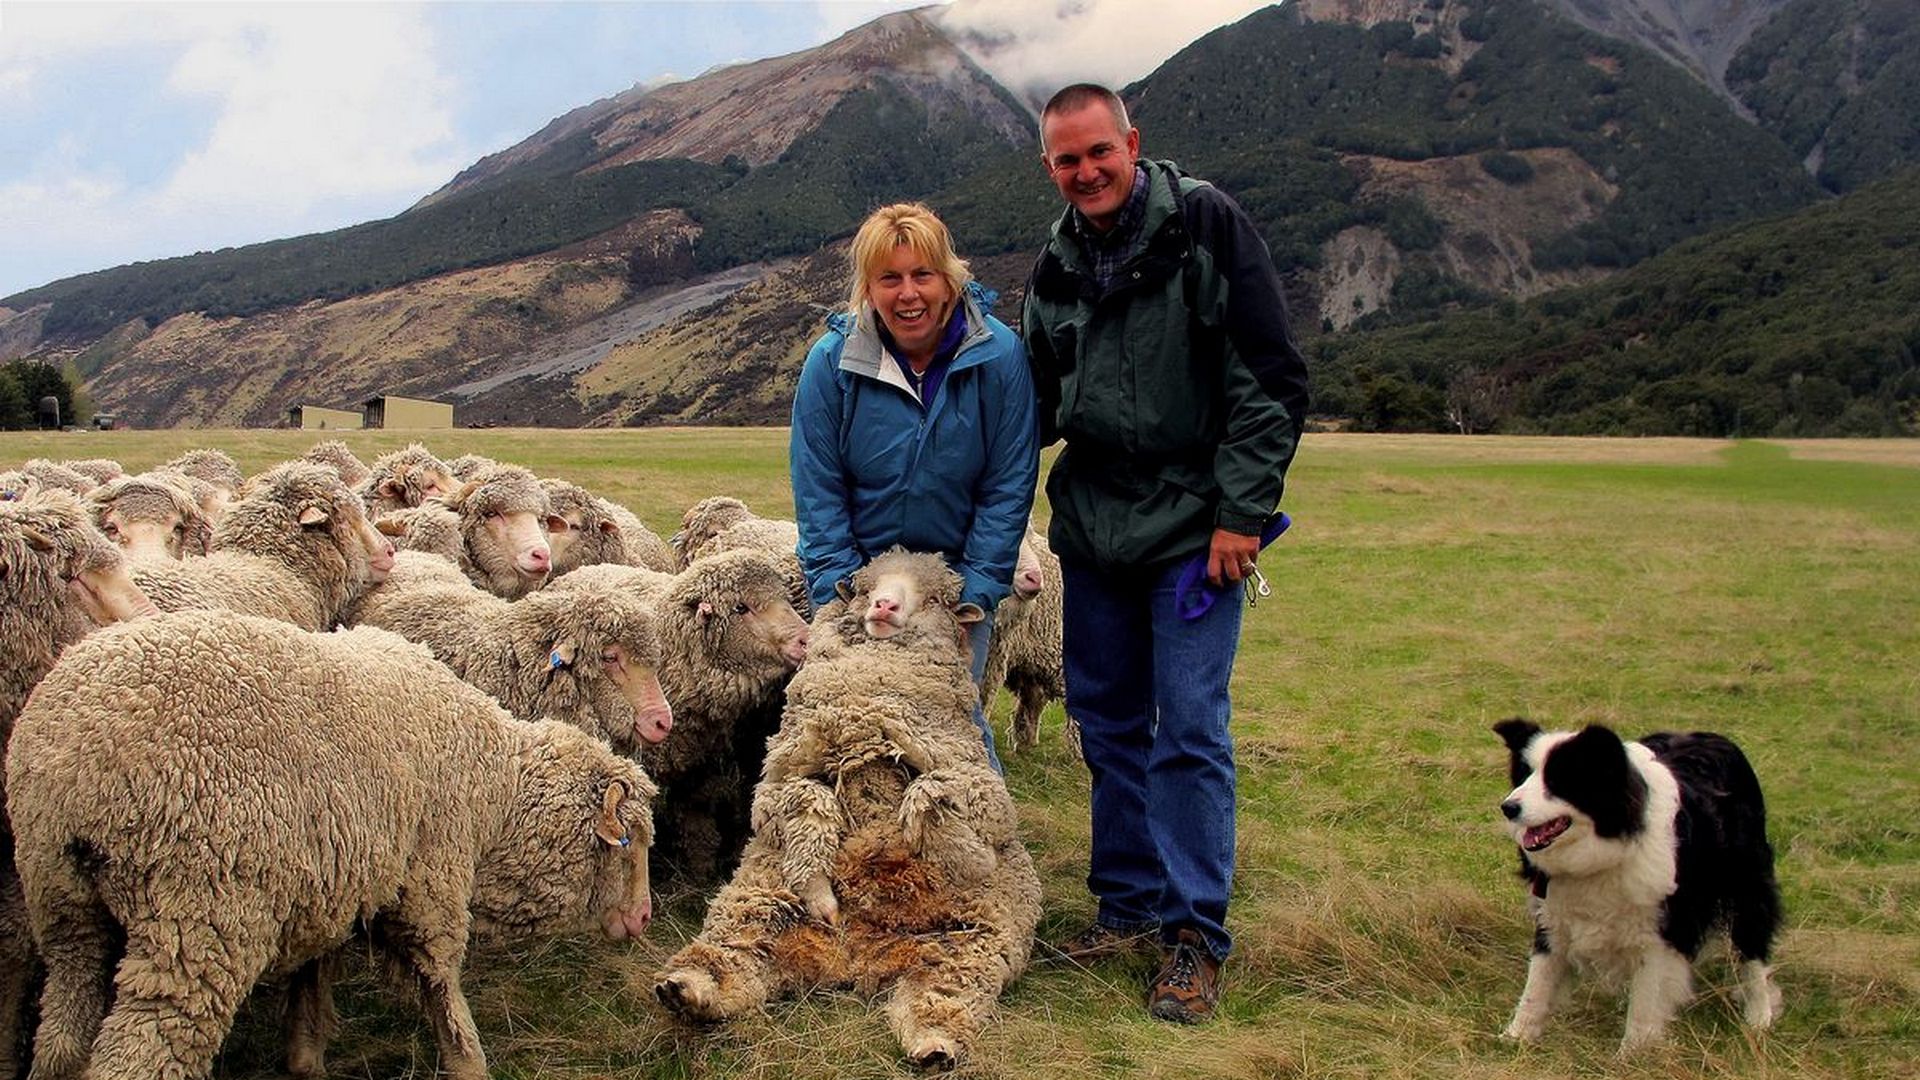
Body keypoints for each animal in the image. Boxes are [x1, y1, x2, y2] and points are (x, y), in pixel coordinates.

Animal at [7, 609, 657, 1080]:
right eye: (625, 845)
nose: (646, 917)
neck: (493, 790)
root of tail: (73, 762)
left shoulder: (335, 881)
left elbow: (314, 973)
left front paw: (305, 1055)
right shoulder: (432, 882)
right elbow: (440, 979)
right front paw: (469, 1061)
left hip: (64, 908)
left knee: (62, 1039)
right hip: (199, 917)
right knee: (138, 1054)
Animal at [550, 551, 809, 881]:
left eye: (785, 598)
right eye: (741, 608)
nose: (805, 639)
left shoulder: (700, 759)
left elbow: (696, 809)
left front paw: (701, 865)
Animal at [654, 549, 1040, 1070]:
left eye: (936, 599)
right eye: (863, 587)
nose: (883, 605)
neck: (871, 700)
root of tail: (856, 958)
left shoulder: (977, 785)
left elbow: (934, 795)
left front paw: (959, 847)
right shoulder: (785, 772)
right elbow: (805, 803)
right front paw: (820, 890)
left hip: (968, 945)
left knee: (939, 998)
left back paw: (934, 1045)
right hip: (755, 903)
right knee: (734, 960)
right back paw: (688, 988)